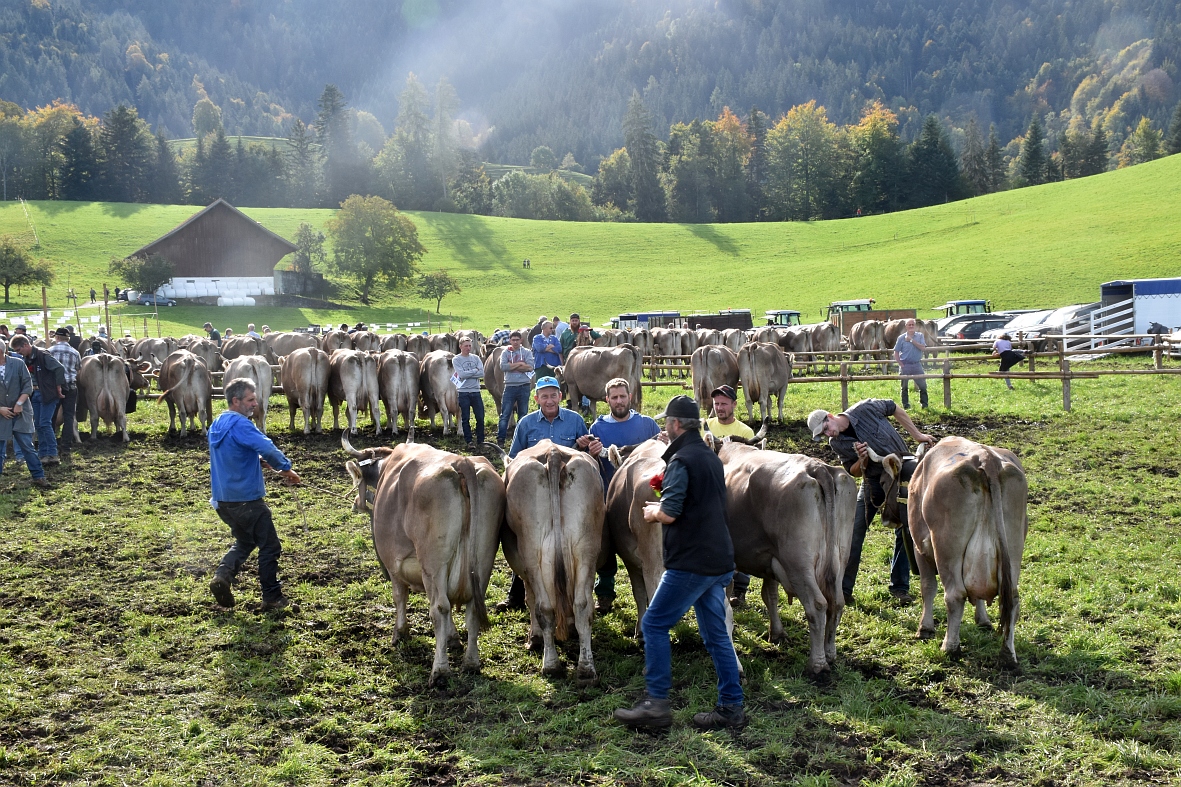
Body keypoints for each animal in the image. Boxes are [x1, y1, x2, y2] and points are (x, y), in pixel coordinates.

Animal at [344, 432, 505, 685]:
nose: (354, 505)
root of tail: (462, 462)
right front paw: (452, 638)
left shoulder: (394, 564)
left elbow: (399, 597)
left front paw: (400, 633)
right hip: (483, 562)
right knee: (471, 610)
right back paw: (471, 663)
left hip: (433, 565)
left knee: (439, 607)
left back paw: (439, 671)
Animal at [500, 437, 604, 685]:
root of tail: (553, 452)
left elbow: (530, 598)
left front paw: (535, 637)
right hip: (586, 549)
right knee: (582, 605)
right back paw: (586, 670)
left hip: (533, 552)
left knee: (544, 608)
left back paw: (551, 665)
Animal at [713, 441, 855, 675]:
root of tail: (818, 467)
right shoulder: (769, 559)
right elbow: (770, 595)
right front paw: (777, 633)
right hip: (839, 559)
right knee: (837, 603)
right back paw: (830, 653)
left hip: (798, 563)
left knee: (817, 605)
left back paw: (817, 664)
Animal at [873, 434, 1029, 661]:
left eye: (883, 482)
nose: (885, 518)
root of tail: (987, 458)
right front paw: (983, 621)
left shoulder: (920, 547)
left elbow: (928, 587)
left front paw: (925, 628)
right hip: (1014, 547)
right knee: (1013, 599)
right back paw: (1008, 655)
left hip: (947, 549)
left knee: (955, 595)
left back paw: (950, 646)